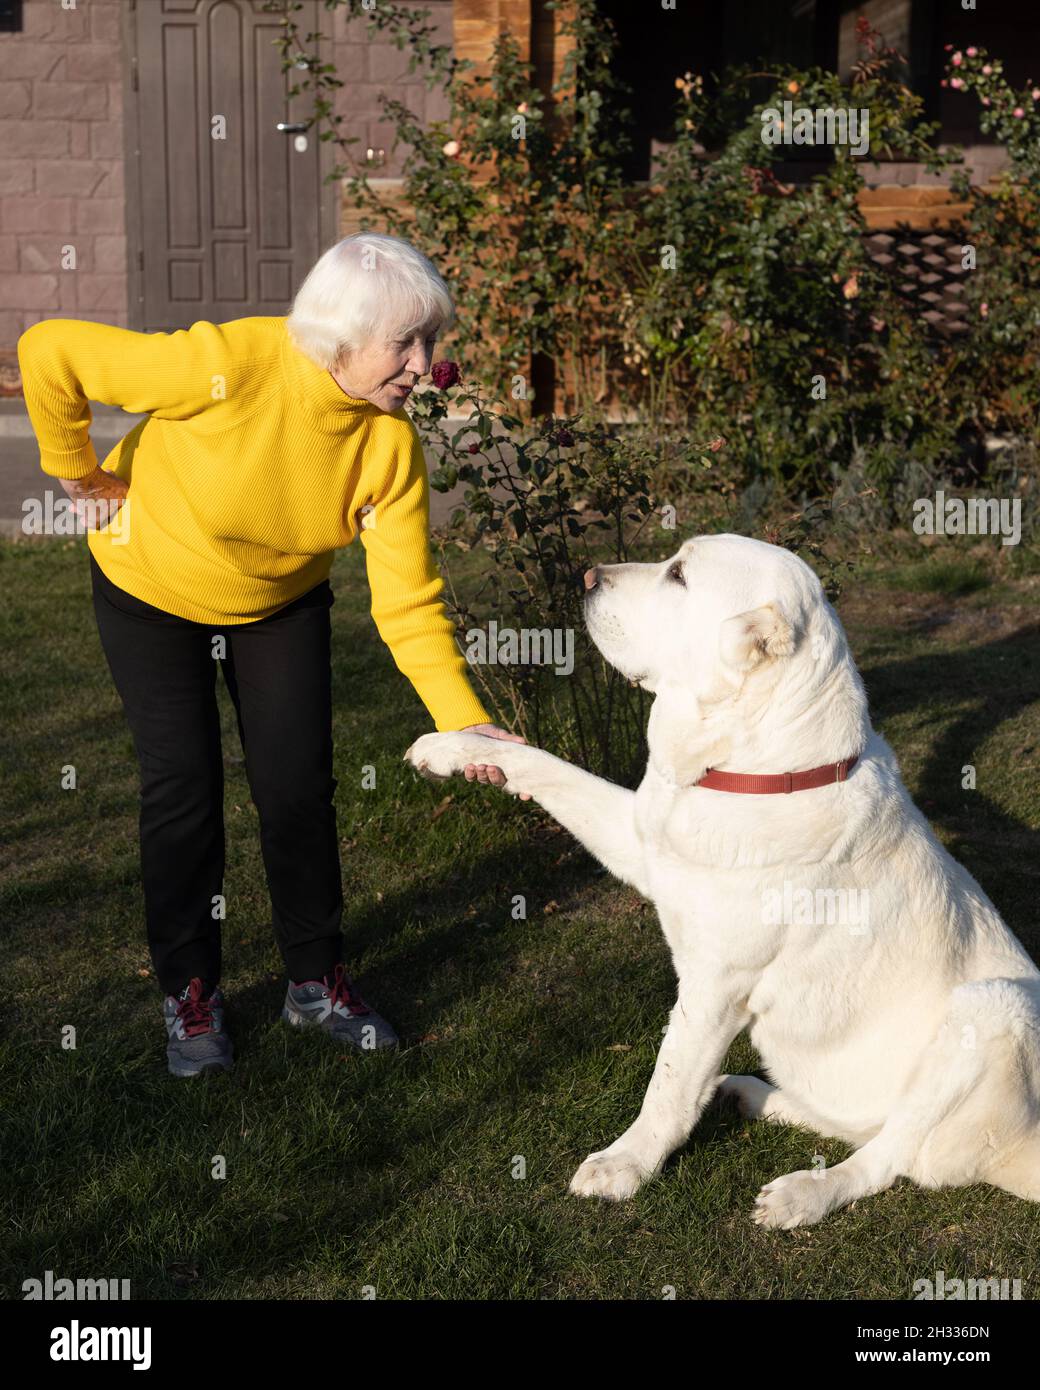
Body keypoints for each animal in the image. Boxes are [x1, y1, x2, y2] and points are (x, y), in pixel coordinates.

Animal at [403, 530, 1034, 1228]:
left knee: (886, 1157)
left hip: (996, 1007)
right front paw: (454, 748)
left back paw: (804, 1192)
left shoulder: (714, 985)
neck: (759, 771)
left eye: (679, 576)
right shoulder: (639, 839)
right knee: (865, 1129)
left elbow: (669, 1081)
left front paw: (626, 1163)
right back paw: (754, 1096)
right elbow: (542, 763)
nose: (587, 576)